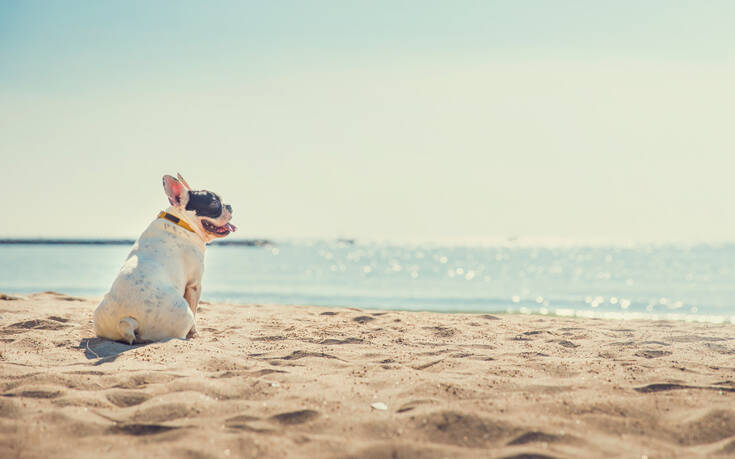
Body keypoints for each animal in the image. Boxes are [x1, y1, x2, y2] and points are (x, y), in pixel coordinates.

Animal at [92, 174, 236, 344]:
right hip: (183, 312)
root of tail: (128, 321)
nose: (229, 206)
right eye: (214, 203)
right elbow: (195, 311)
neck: (182, 222)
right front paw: (195, 333)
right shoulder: (194, 284)